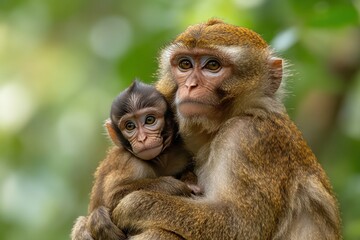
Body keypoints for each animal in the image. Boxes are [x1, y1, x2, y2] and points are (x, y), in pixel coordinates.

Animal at [70, 81, 197, 240]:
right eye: (130, 126)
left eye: (150, 120)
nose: (142, 139)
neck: (159, 160)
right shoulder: (131, 163)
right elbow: (114, 196)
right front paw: (174, 186)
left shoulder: (181, 152)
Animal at [111, 19, 342, 240]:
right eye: (185, 64)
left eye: (212, 65)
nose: (190, 85)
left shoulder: (247, 137)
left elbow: (240, 226)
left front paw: (134, 205)